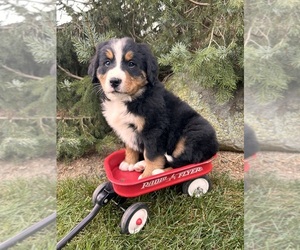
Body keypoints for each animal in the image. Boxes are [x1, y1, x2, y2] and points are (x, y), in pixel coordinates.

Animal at [88, 37, 218, 179]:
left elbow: (152, 155)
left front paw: (148, 177)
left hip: (194, 132)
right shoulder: (127, 129)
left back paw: (159, 172)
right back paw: (140, 165)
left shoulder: (153, 129)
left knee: (187, 160)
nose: (114, 81)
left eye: (131, 64)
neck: (128, 99)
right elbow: (130, 146)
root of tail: (215, 145)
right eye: (107, 63)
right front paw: (129, 162)